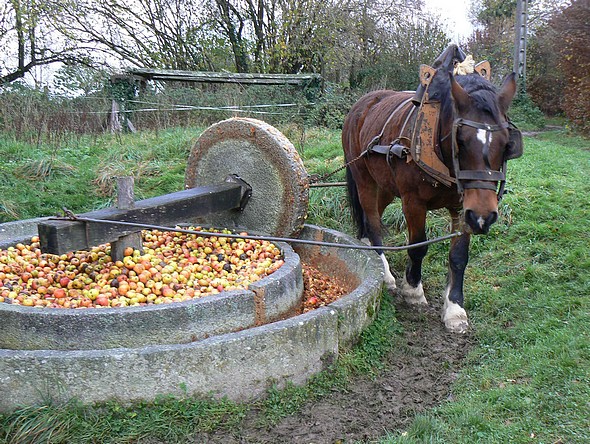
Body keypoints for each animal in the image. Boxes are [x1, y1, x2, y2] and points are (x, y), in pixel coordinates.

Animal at [344, 70, 524, 332]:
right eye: (461, 140)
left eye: (506, 143)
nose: (484, 216)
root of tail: (363, 103)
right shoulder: (413, 202)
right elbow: (418, 246)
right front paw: (413, 290)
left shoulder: (463, 208)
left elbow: (459, 256)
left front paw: (454, 309)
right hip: (364, 179)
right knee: (373, 220)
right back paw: (384, 271)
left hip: (385, 185)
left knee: (372, 216)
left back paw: (367, 247)